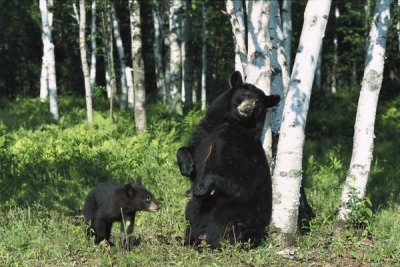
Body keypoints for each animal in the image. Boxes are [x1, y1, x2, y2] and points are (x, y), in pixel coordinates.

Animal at [177, 71, 280, 249]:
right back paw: (188, 239)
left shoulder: (242, 152)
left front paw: (201, 186)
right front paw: (187, 166)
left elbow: (239, 182)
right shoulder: (205, 132)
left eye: (258, 102)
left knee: (221, 222)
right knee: (192, 212)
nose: (248, 108)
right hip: (198, 208)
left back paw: (210, 243)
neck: (230, 124)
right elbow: (189, 148)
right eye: (245, 95)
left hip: (237, 213)